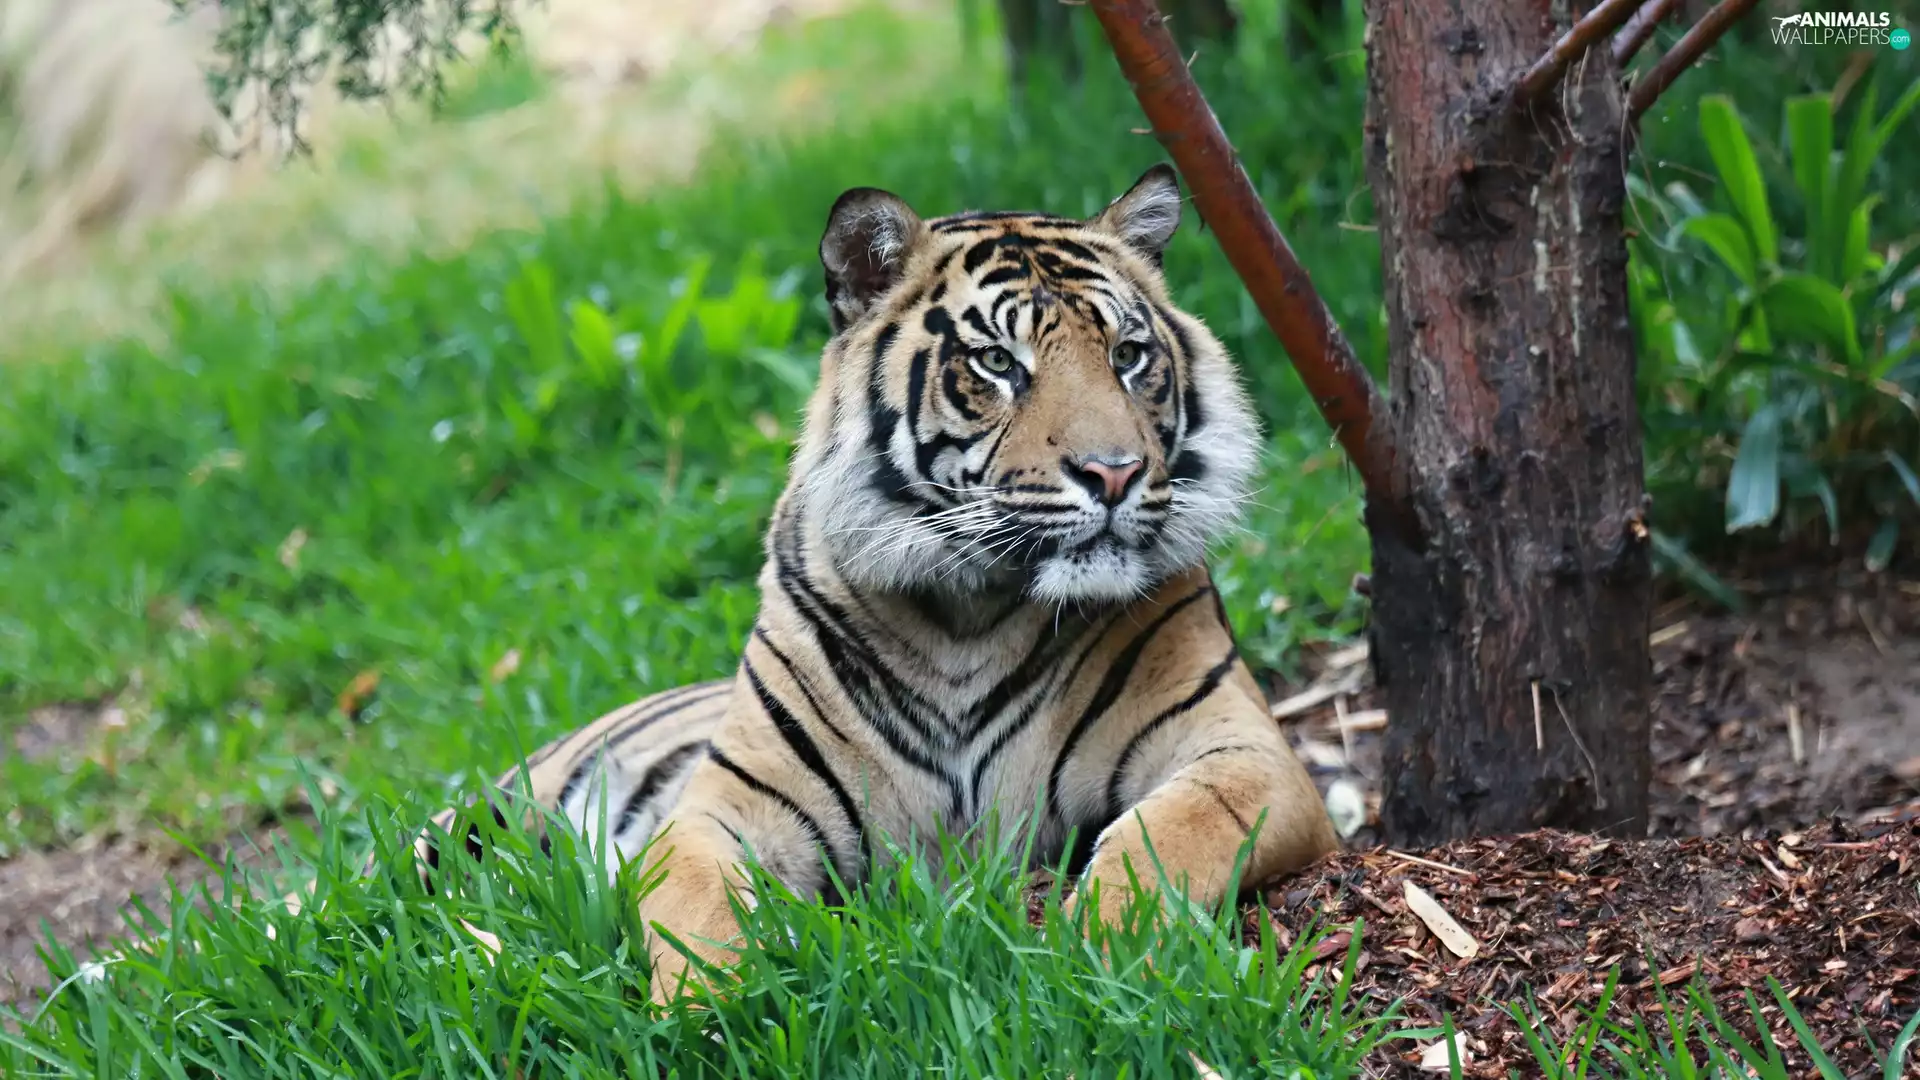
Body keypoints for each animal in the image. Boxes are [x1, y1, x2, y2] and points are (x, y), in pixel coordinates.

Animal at [402, 164, 1341, 1004]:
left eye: (1129, 354)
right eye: (998, 363)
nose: (1114, 473)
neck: (973, 608)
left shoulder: (1248, 751)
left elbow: (1176, 831)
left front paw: (1104, 944)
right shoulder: (725, 805)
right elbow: (694, 902)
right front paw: (712, 1009)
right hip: (471, 821)